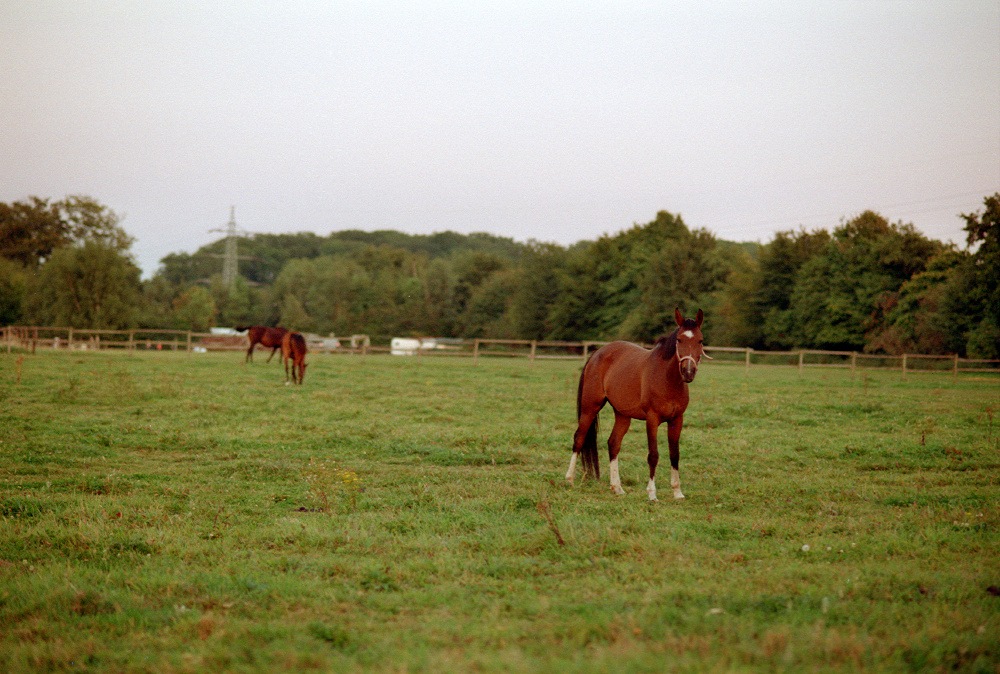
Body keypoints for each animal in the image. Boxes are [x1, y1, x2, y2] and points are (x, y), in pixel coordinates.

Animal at [565, 308, 709, 501]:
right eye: (679, 340)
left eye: (700, 340)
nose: (688, 372)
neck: (666, 379)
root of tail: (597, 353)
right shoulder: (652, 419)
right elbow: (653, 455)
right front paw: (652, 494)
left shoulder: (677, 420)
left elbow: (675, 454)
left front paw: (677, 492)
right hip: (590, 408)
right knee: (579, 438)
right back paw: (569, 480)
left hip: (622, 415)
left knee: (613, 444)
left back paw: (617, 487)